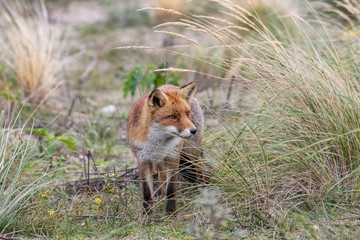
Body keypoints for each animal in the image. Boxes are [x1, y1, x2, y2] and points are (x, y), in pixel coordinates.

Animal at [128, 80, 204, 214]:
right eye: (173, 117)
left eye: (187, 114)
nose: (193, 130)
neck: (157, 141)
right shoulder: (142, 159)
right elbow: (146, 191)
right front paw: (147, 214)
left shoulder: (173, 156)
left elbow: (171, 189)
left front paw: (170, 212)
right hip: (160, 160)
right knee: (162, 177)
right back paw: (159, 194)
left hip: (191, 152)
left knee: (200, 167)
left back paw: (204, 188)